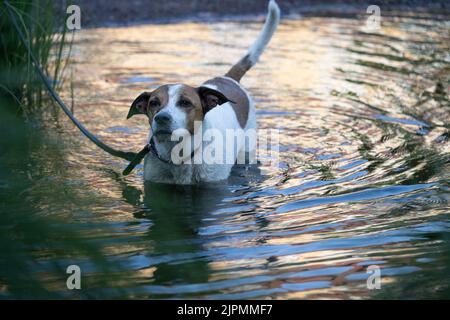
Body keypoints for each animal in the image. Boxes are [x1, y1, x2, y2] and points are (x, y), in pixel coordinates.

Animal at [126, 0, 280, 185]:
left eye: (185, 102)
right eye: (153, 103)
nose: (161, 118)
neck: (180, 156)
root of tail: (227, 78)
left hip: (247, 149)